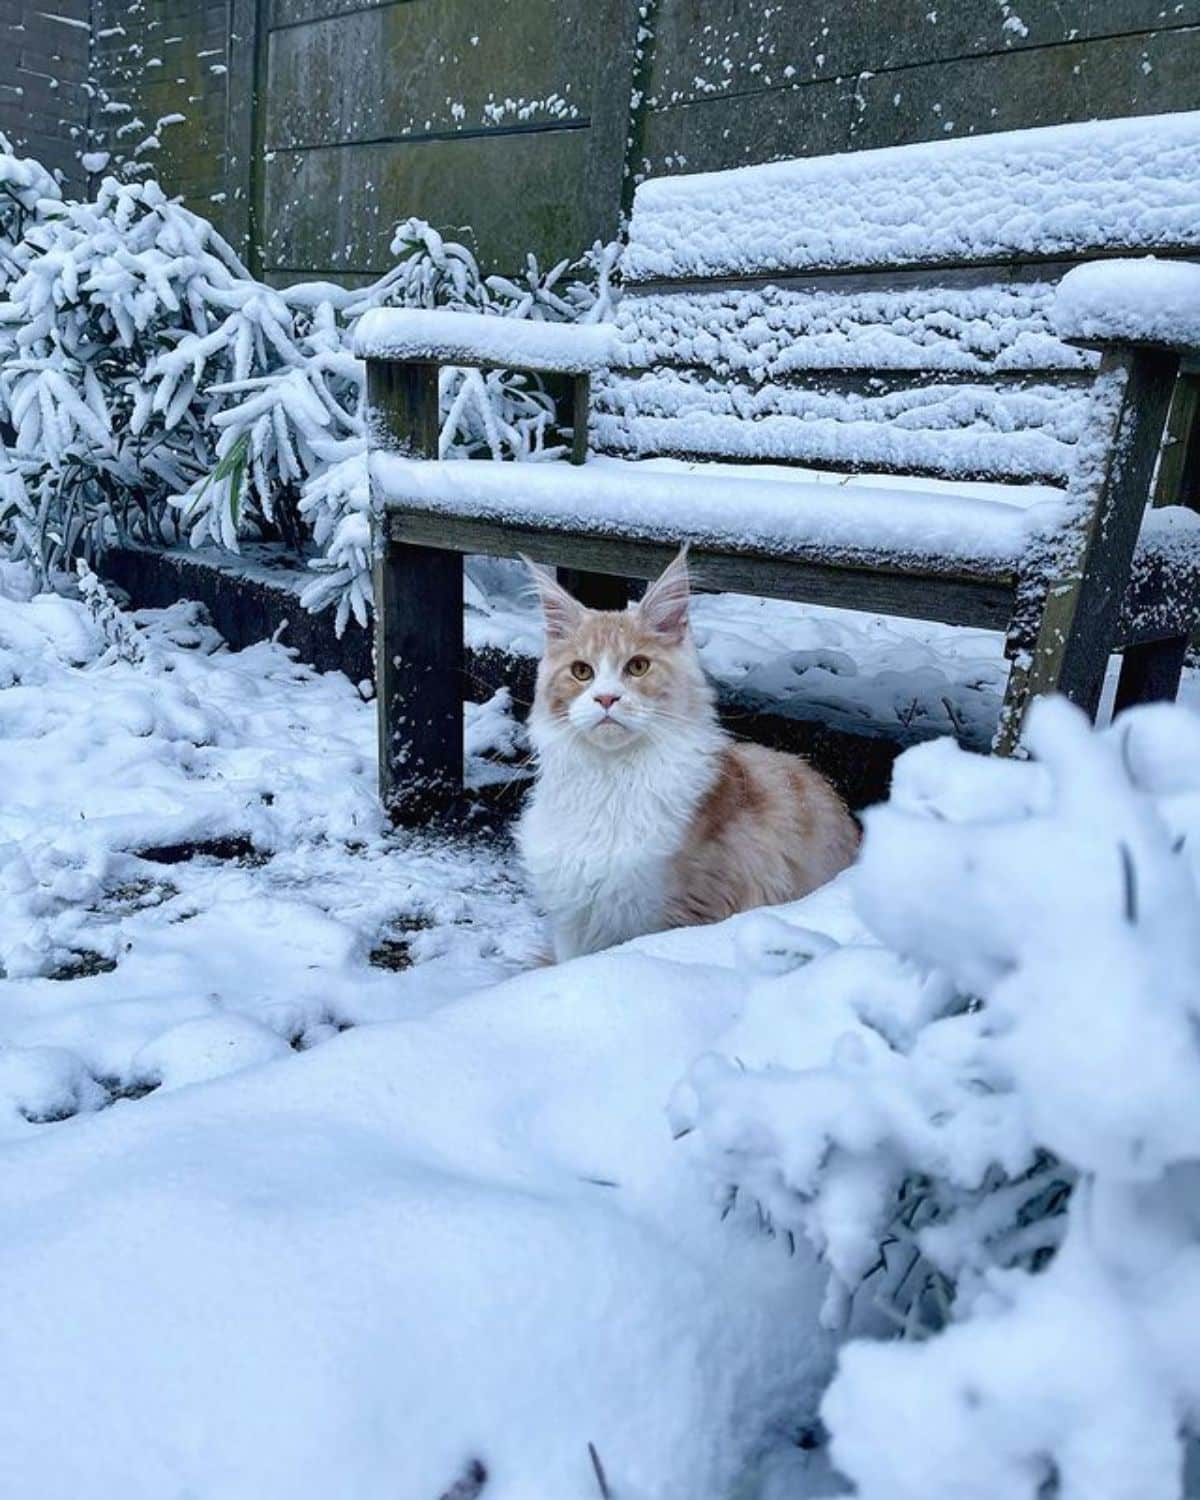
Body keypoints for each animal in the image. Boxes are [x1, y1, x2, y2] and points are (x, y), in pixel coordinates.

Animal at [516, 549, 864, 960]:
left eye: (637, 666)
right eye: (581, 671)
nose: (606, 698)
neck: (613, 780)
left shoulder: (686, 911)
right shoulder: (573, 927)